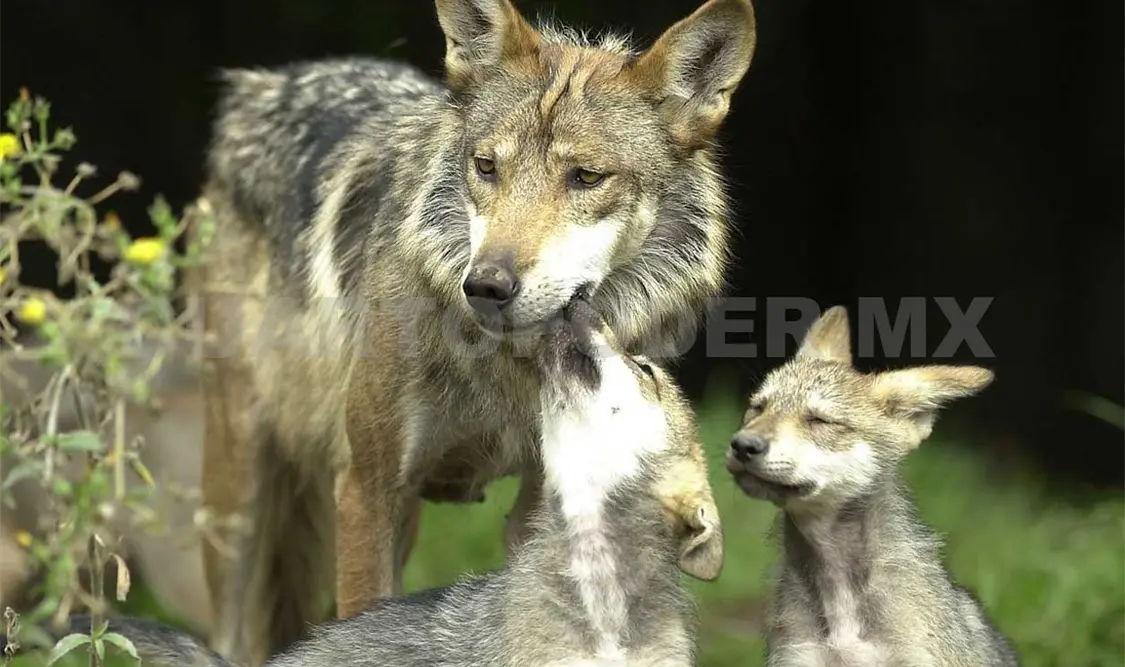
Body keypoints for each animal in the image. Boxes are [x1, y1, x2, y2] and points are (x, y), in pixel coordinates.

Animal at [187, 0, 757, 662]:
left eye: (586, 178)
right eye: (486, 167)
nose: (485, 285)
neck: (507, 367)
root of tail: (265, 84)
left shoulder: (542, 501)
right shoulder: (366, 489)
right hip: (240, 506)